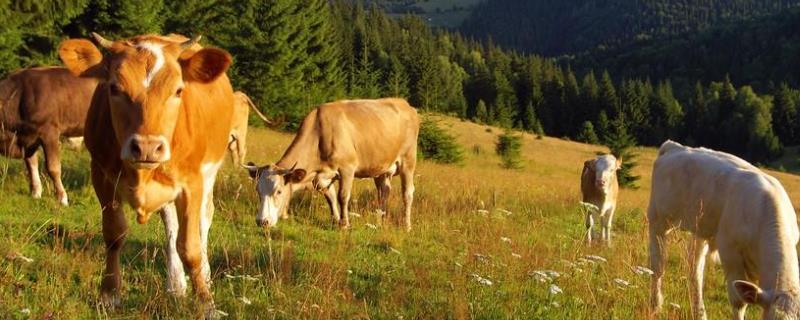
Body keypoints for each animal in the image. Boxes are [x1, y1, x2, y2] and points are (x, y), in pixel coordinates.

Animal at [0, 67, 99, 205]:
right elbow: (31, 164)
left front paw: (62, 198)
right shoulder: (28, 139)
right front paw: (35, 193)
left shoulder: (49, 132)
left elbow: (53, 167)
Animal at [58, 33, 234, 316]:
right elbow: (114, 235)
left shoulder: (192, 183)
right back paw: (175, 285)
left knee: (204, 220)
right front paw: (109, 295)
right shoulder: (101, 176)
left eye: (178, 90)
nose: (148, 147)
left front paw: (207, 304)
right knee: (171, 226)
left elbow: (191, 247)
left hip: (210, 174)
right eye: (114, 88)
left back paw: (204, 276)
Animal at [242, 97, 418, 230]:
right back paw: (379, 222)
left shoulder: (347, 168)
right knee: (383, 192)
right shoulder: (321, 177)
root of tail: (405, 104)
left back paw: (407, 225)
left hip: (408, 161)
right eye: (258, 190)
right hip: (381, 168)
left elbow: (342, 196)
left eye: (278, 191)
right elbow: (331, 198)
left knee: (407, 194)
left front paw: (345, 224)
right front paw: (336, 221)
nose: (262, 221)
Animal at [648, 141, 800, 320]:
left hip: (701, 229)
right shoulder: (730, 252)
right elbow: (738, 302)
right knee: (658, 264)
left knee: (694, 271)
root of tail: (674, 146)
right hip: (657, 219)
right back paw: (655, 305)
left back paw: (699, 313)